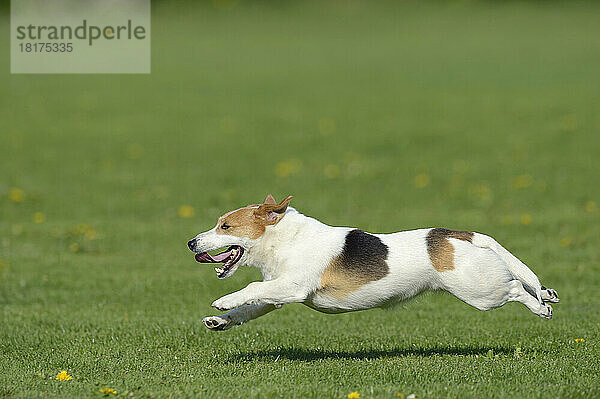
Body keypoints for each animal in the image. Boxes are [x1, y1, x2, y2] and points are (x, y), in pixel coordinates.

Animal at [186, 196, 556, 332]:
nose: (191, 243)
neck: (283, 238)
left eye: (225, 227)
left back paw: (542, 306)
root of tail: (461, 234)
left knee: (516, 289)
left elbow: (248, 287)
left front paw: (222, 302)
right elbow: (249, 306)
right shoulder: (275, 293)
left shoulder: (292, 286)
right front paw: (220, 320)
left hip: (479, 291)